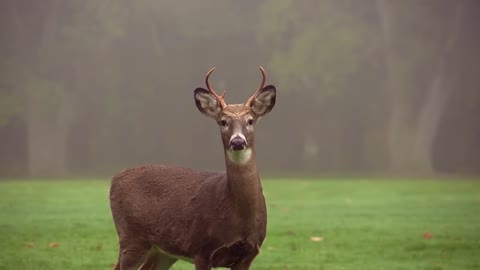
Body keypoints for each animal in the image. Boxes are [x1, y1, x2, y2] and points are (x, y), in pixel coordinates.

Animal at [108, 66, 274, 270]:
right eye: (223, 122)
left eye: (250, 121)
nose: (237, 141)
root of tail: (114, 179)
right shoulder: (200, 248)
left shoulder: (248, 254)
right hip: (131, 236)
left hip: (162, 251)